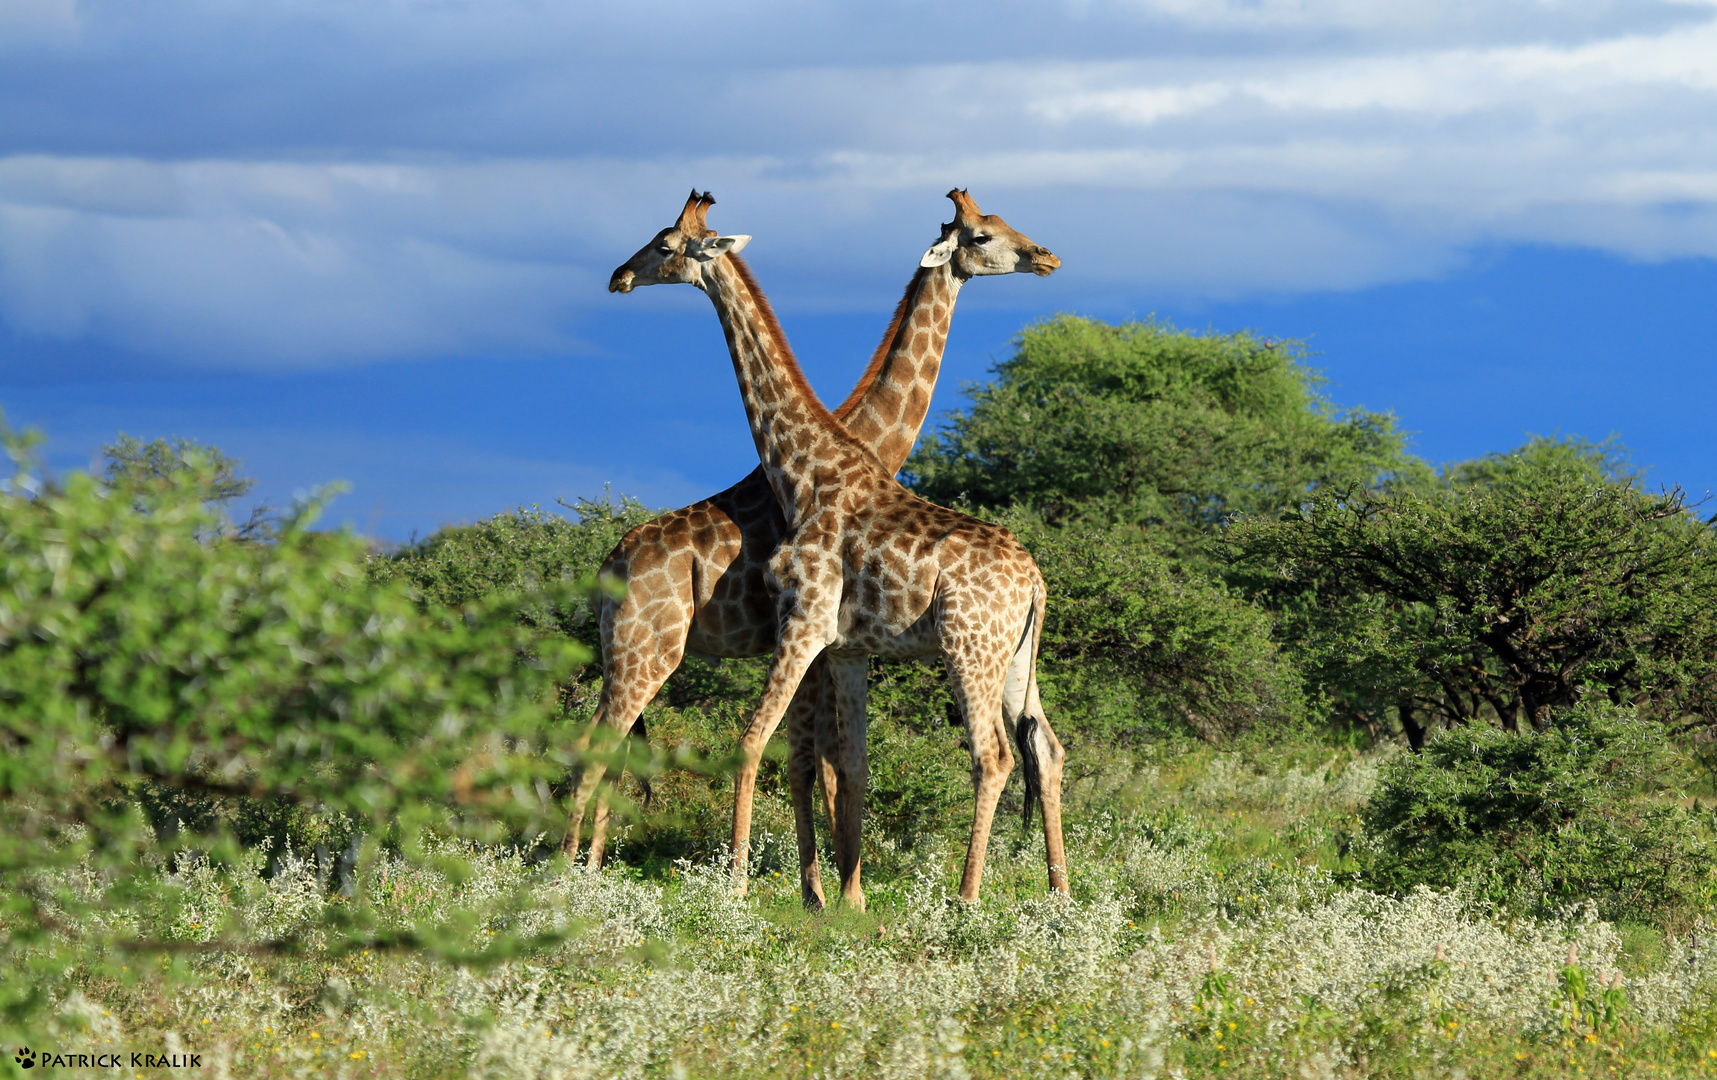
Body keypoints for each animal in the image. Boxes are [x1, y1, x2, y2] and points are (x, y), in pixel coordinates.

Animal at [576, 189, 1050, 906]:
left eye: (663, 245)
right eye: (983, 233)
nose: (619, 275)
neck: (826, 457)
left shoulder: (817, 636)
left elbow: (798, 756)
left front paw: (794, 892)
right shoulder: (823, 640)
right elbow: (824, 761)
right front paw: (820, 893)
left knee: (1005, 752)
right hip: (641, 649)